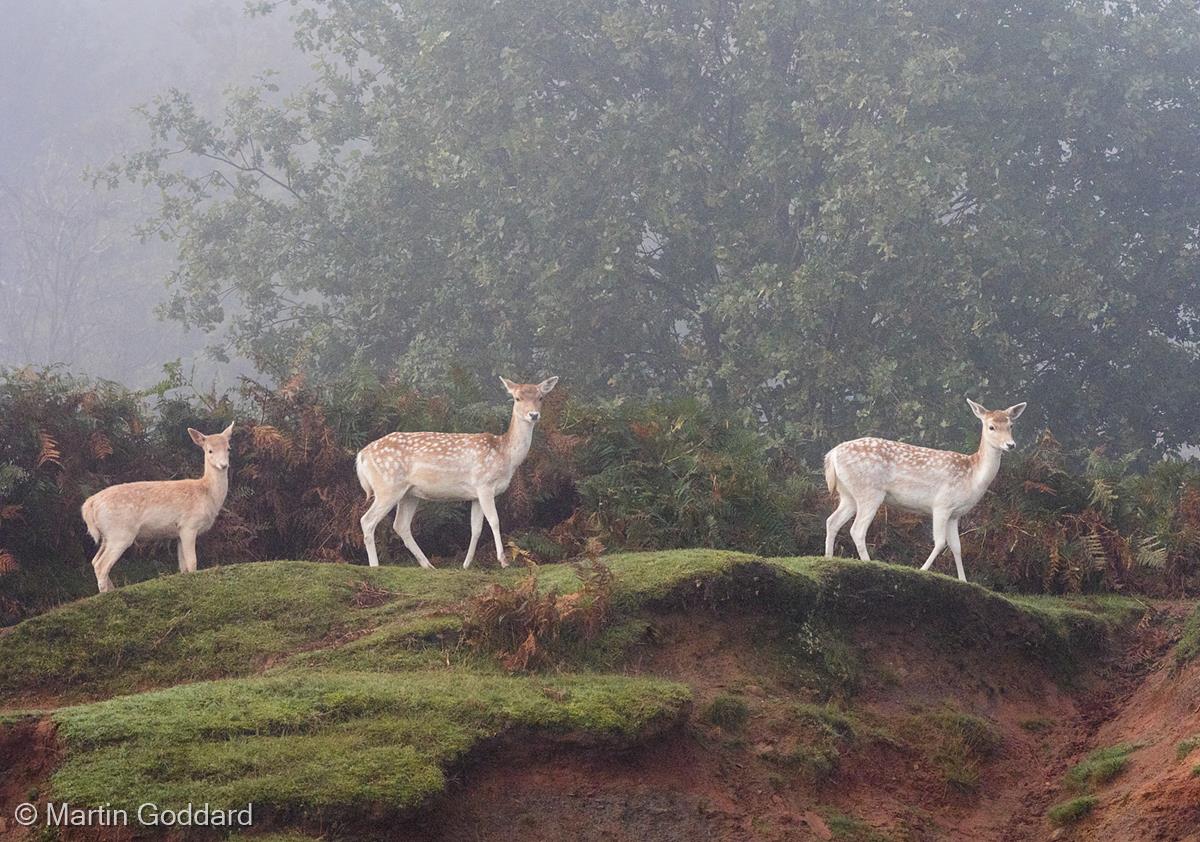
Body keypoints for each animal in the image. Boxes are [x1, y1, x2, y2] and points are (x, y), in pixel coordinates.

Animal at [80, 422, 236, 594]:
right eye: (210, 450)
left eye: (229, 448)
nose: (224, 465)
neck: (207, 494)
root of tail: (89, 505)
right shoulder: (189, 525)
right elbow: (193, 563)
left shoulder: (178, 532)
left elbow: (183, 567)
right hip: (120, 533)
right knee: (102, 565)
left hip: (107, 535)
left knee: (95, 561)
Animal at [352, 376, 559, 570]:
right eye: (517, 398)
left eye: (541, 397)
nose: (533, 414)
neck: (505, 455)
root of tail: (361, 456)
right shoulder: (484, 484)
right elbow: (494, 520)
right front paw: (503, 560)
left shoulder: (475, 495)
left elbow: (476, 528)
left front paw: (466, 564)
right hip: (388, 486)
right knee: (367, 520)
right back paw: (375, 565)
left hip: (409, 493)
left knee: (400, 525)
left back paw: (429, 565)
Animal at [825, 400, 1032, 582]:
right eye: (991, 427)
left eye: (1011, 425)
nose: (1011, 445)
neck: (973, 477)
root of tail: (831, 455)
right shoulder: (942, 504)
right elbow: (940, 542)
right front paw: (922, 570)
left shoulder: (955, 514)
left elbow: (957, 547)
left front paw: (964, 581)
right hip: (869, 491)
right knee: (857, 529)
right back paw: (870, 563)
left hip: (848, 494)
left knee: (832, 521)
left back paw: (828, 558)